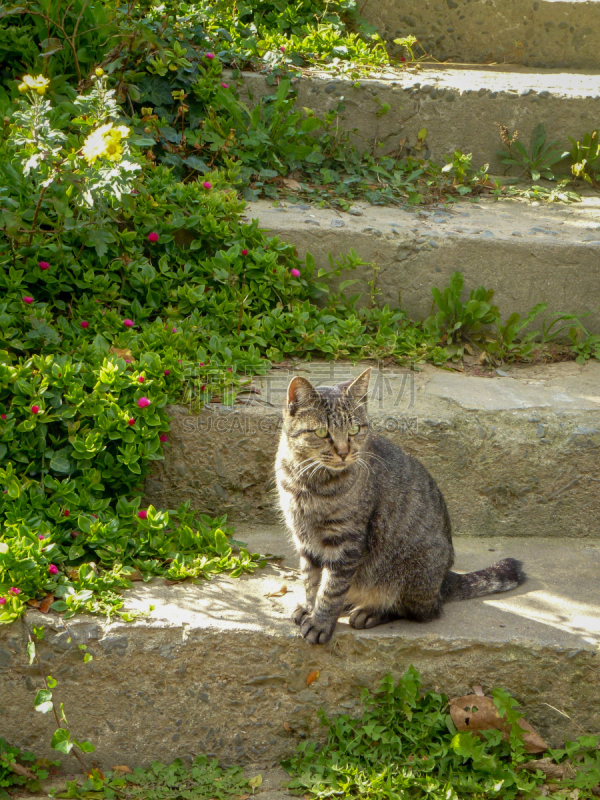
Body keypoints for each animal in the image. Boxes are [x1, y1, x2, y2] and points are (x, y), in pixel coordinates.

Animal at [276, 368, 524, 644]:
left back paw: (370, 611)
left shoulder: (345, 541)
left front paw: (320, 622)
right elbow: (311, 579)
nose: (343, 451)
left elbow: (330, 589)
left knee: (422, 611)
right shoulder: (304, 539)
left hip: (412, 570)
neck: (309, 482)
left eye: (354, 429)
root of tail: (444, 580)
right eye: (321, 433)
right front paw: (309, 607)